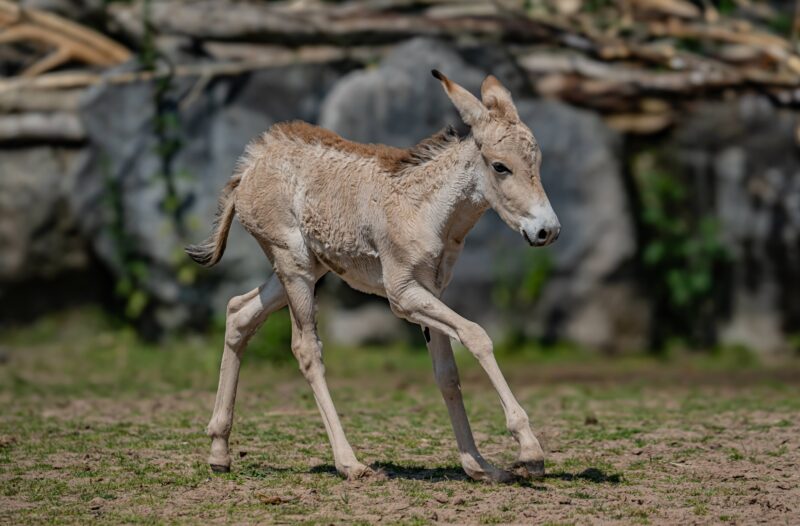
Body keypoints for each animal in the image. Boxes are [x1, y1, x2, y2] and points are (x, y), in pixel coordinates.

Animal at [188, 72, 564, 484]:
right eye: (500, 166)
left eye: (537, 161)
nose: (547, 231)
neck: (427, 210)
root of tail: (252, 162)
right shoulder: (402, 296)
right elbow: (477, 335)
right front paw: (529, 450)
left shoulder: (431, 291)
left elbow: (447, 373)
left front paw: (479, 465)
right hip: (295, 268)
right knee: (306, 349)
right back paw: (349, 463)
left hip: (307, 269)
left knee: (239, 314)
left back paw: (219, 451)